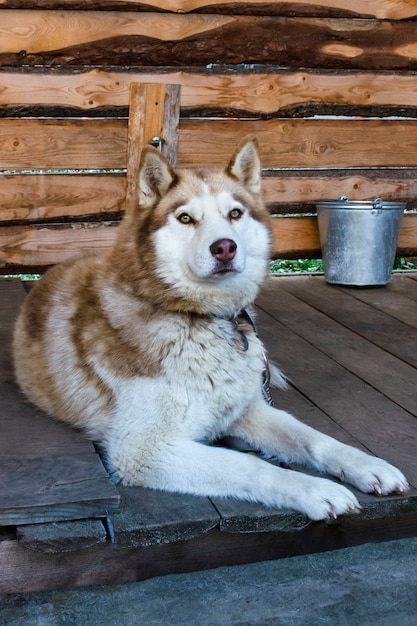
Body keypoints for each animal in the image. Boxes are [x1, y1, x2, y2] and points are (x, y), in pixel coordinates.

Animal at [13, 136, 406, 516]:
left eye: (235, 213)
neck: (200, 319)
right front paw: (315, 490)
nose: (225, 248)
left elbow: (313, 438)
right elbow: (252, 465)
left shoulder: (249, 410)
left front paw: (368, 465)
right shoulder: (144, 450)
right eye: (186, 218)